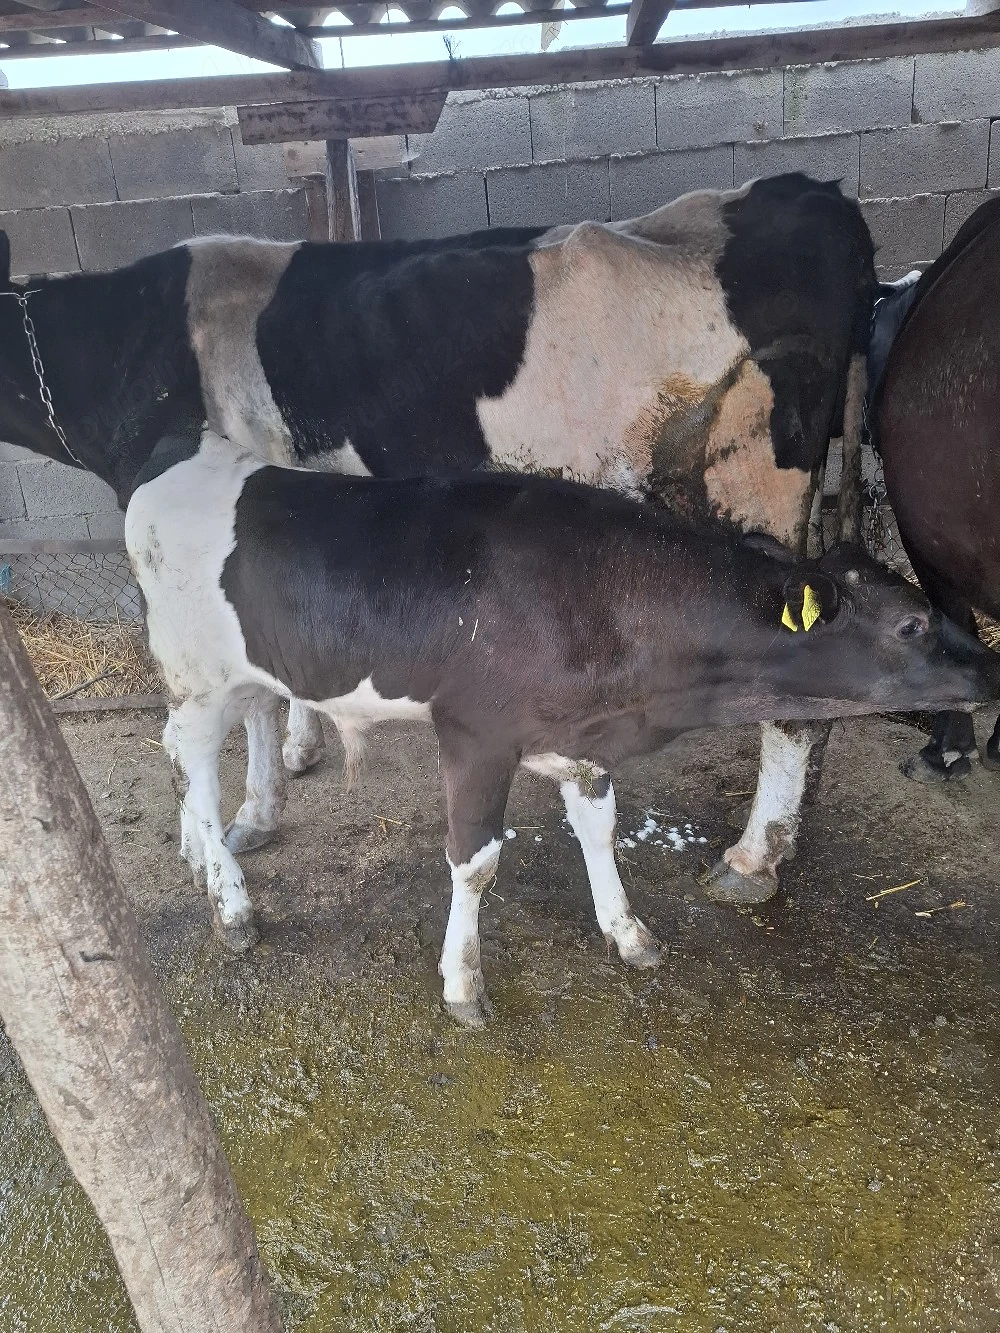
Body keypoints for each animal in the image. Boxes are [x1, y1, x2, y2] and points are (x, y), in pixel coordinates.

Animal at [0, 171, 875, 906]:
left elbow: (254, 697)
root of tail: (807, 191)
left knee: (795, 693)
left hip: (758, 484)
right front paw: (297, 755)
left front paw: (251, 811)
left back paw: (752, 858)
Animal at [126, 431, 1000, 1024]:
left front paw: (628, 930)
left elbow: (601, 825)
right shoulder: (474, 734)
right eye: (913, 624)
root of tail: (171, 464)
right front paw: (464, 982)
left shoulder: (583, 736)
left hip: (245, 673)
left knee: (211, 739)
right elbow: (475, 861)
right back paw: (231, 903)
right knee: (192, 766)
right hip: (195, 677)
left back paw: (203, 852)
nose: (992, 666)